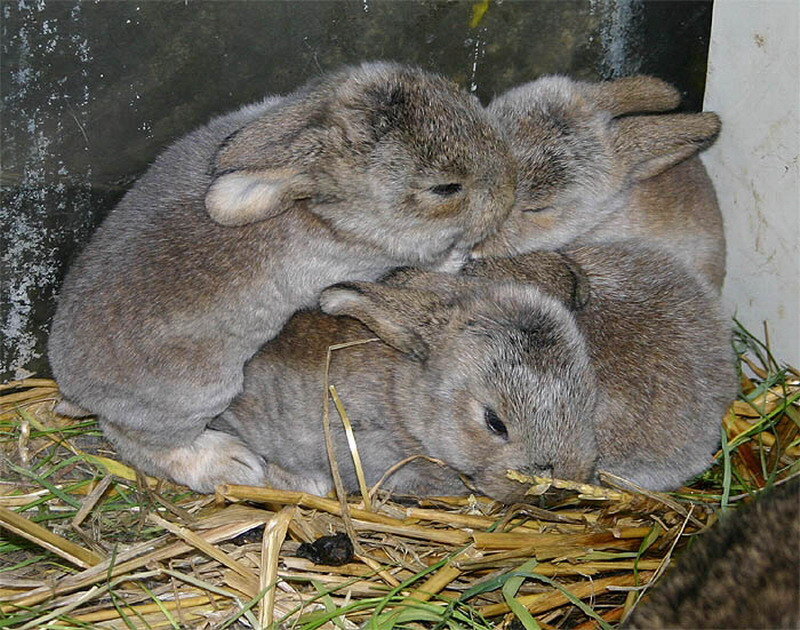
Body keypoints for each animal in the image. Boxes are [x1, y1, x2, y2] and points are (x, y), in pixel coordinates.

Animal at [47, 61, 517, 493]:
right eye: (445, 188)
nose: (510, 191)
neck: (326, 210)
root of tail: (72, 385)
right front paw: (462, 254)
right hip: (196, 394)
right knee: (137, 440)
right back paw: (232, 464)